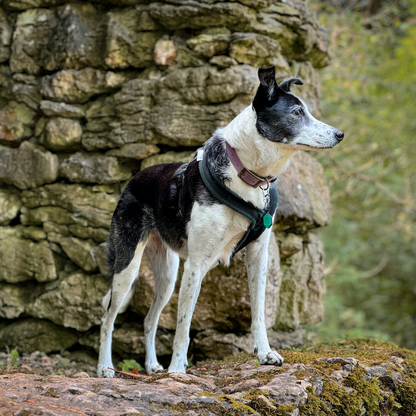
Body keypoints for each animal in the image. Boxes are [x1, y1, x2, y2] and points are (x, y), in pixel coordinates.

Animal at [97, 66, 344, 376]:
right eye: (297, 112)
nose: (340, 134)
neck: (248, 175)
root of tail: (135, 178)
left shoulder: (258, 255)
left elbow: (259, 312)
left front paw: (265, 353)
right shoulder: (196, 264)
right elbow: (183, 326)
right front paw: (177, 369)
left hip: (167, 275)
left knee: (149, 319)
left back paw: (153, 366)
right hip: (128, 266)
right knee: (108, 317)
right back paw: (105, 367)